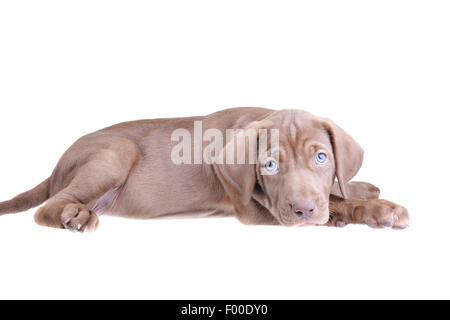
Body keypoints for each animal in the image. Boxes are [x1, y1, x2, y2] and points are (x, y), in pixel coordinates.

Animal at [0, 107, 408, 230]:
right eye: (270, 164)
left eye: (322, 157)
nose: (304, 210)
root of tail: (57, 165)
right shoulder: (254, 211)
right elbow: (336, 204)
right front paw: (381, 210)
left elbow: (337, 191)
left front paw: (362, 190)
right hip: (116, 150)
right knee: (48, 206)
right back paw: (74, 215)